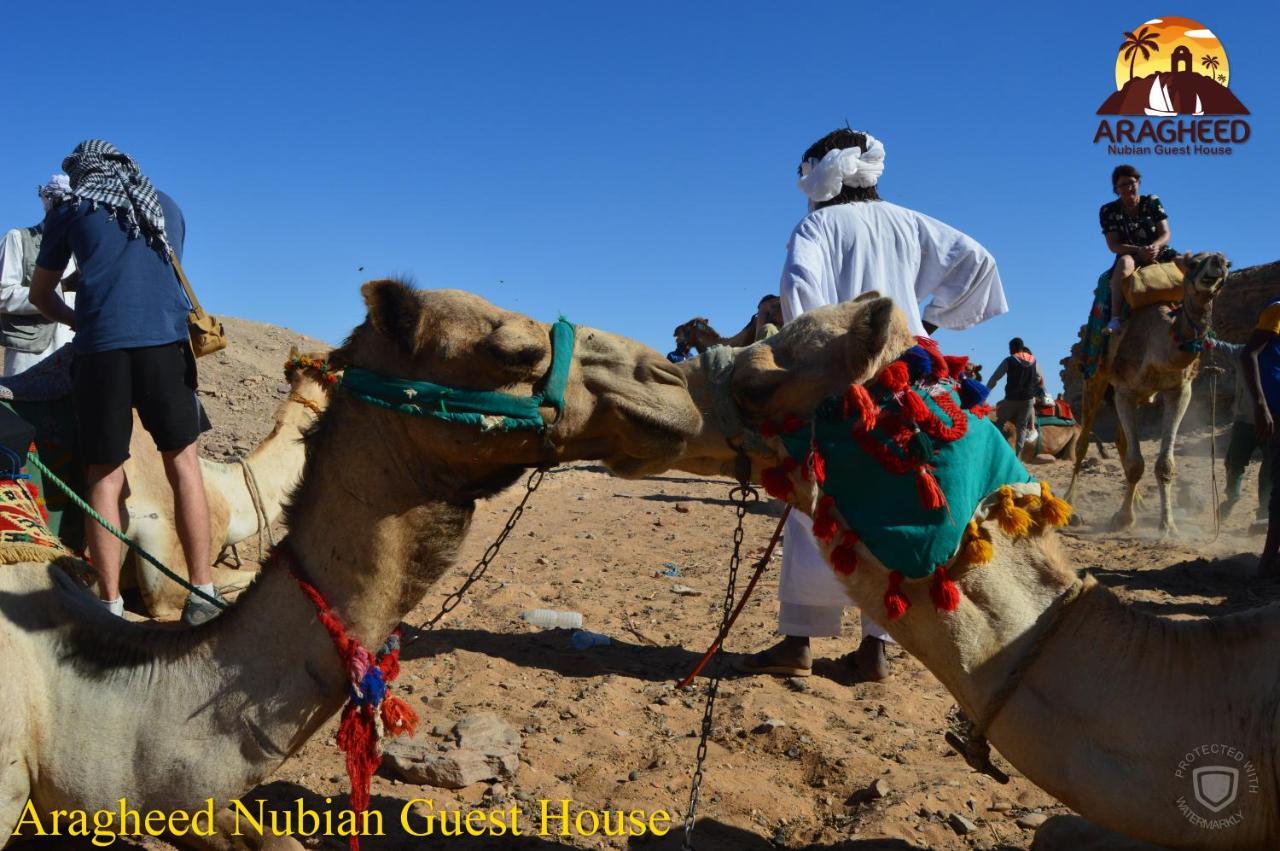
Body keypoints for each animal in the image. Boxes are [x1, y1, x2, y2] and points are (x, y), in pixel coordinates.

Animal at [1064, 252, 1233, 532]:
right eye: (1193, 262)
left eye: (1229, 264)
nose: (1218, 261)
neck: (1159, 344)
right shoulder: (1124, 390)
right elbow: (1136, 463)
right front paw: (1123, 519)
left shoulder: (1179, 390)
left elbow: (1164, 463)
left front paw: (1168, 525)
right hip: (1094, 378)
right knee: (1083, 442)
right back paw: (1070, 506)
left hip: (1140, 396)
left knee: (1120, 439)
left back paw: (1141, 504)